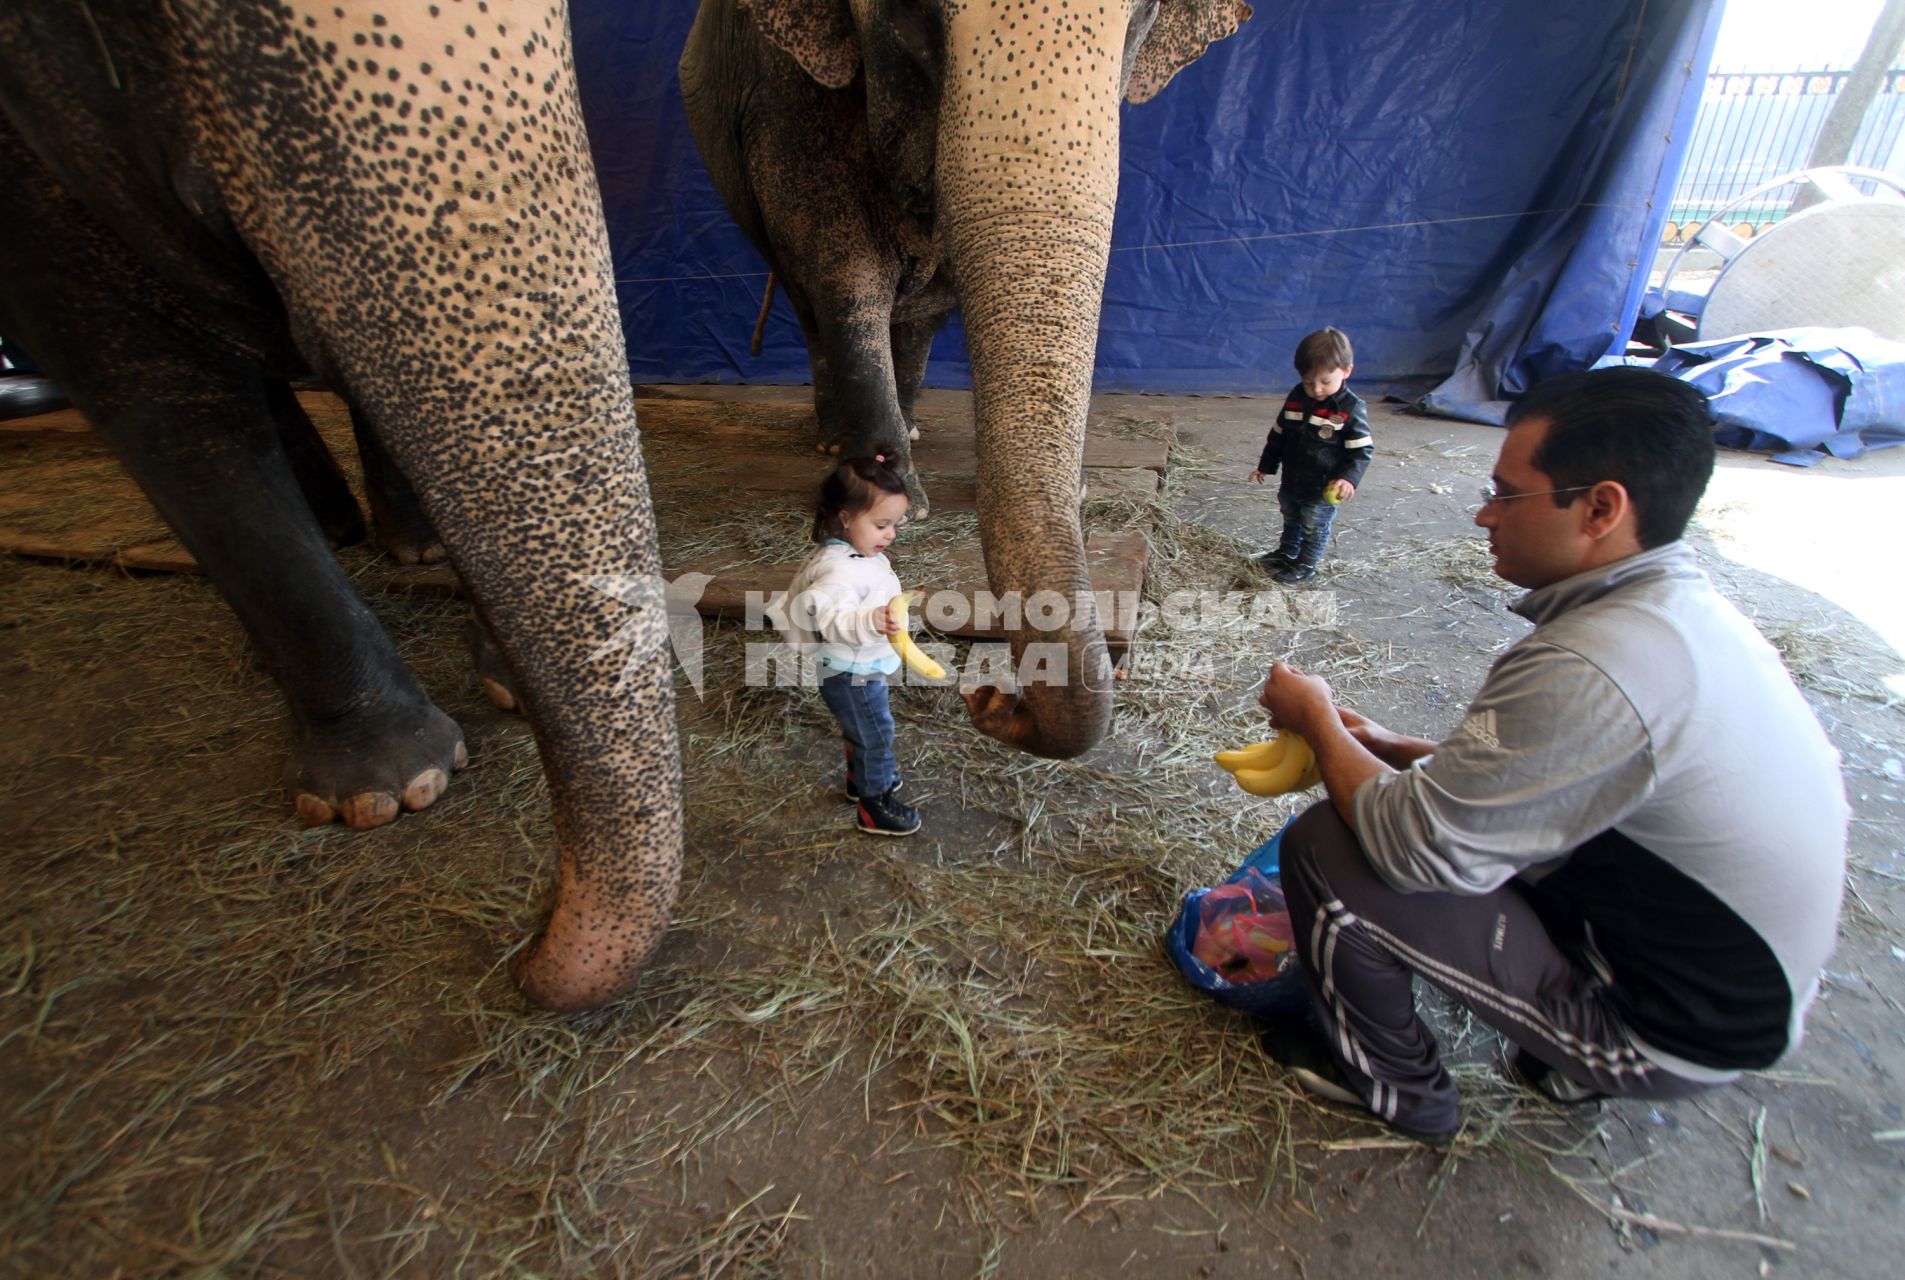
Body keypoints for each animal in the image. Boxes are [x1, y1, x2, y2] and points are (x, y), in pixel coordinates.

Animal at [681, 0, 1249, 761]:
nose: (988, 697)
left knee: (918, 311)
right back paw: (840, 443)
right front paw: (903, 497)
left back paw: (911, 425)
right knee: (812, 297)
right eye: (909, 18)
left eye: (1143, 22)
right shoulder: (786, 97)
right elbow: (843, 268)